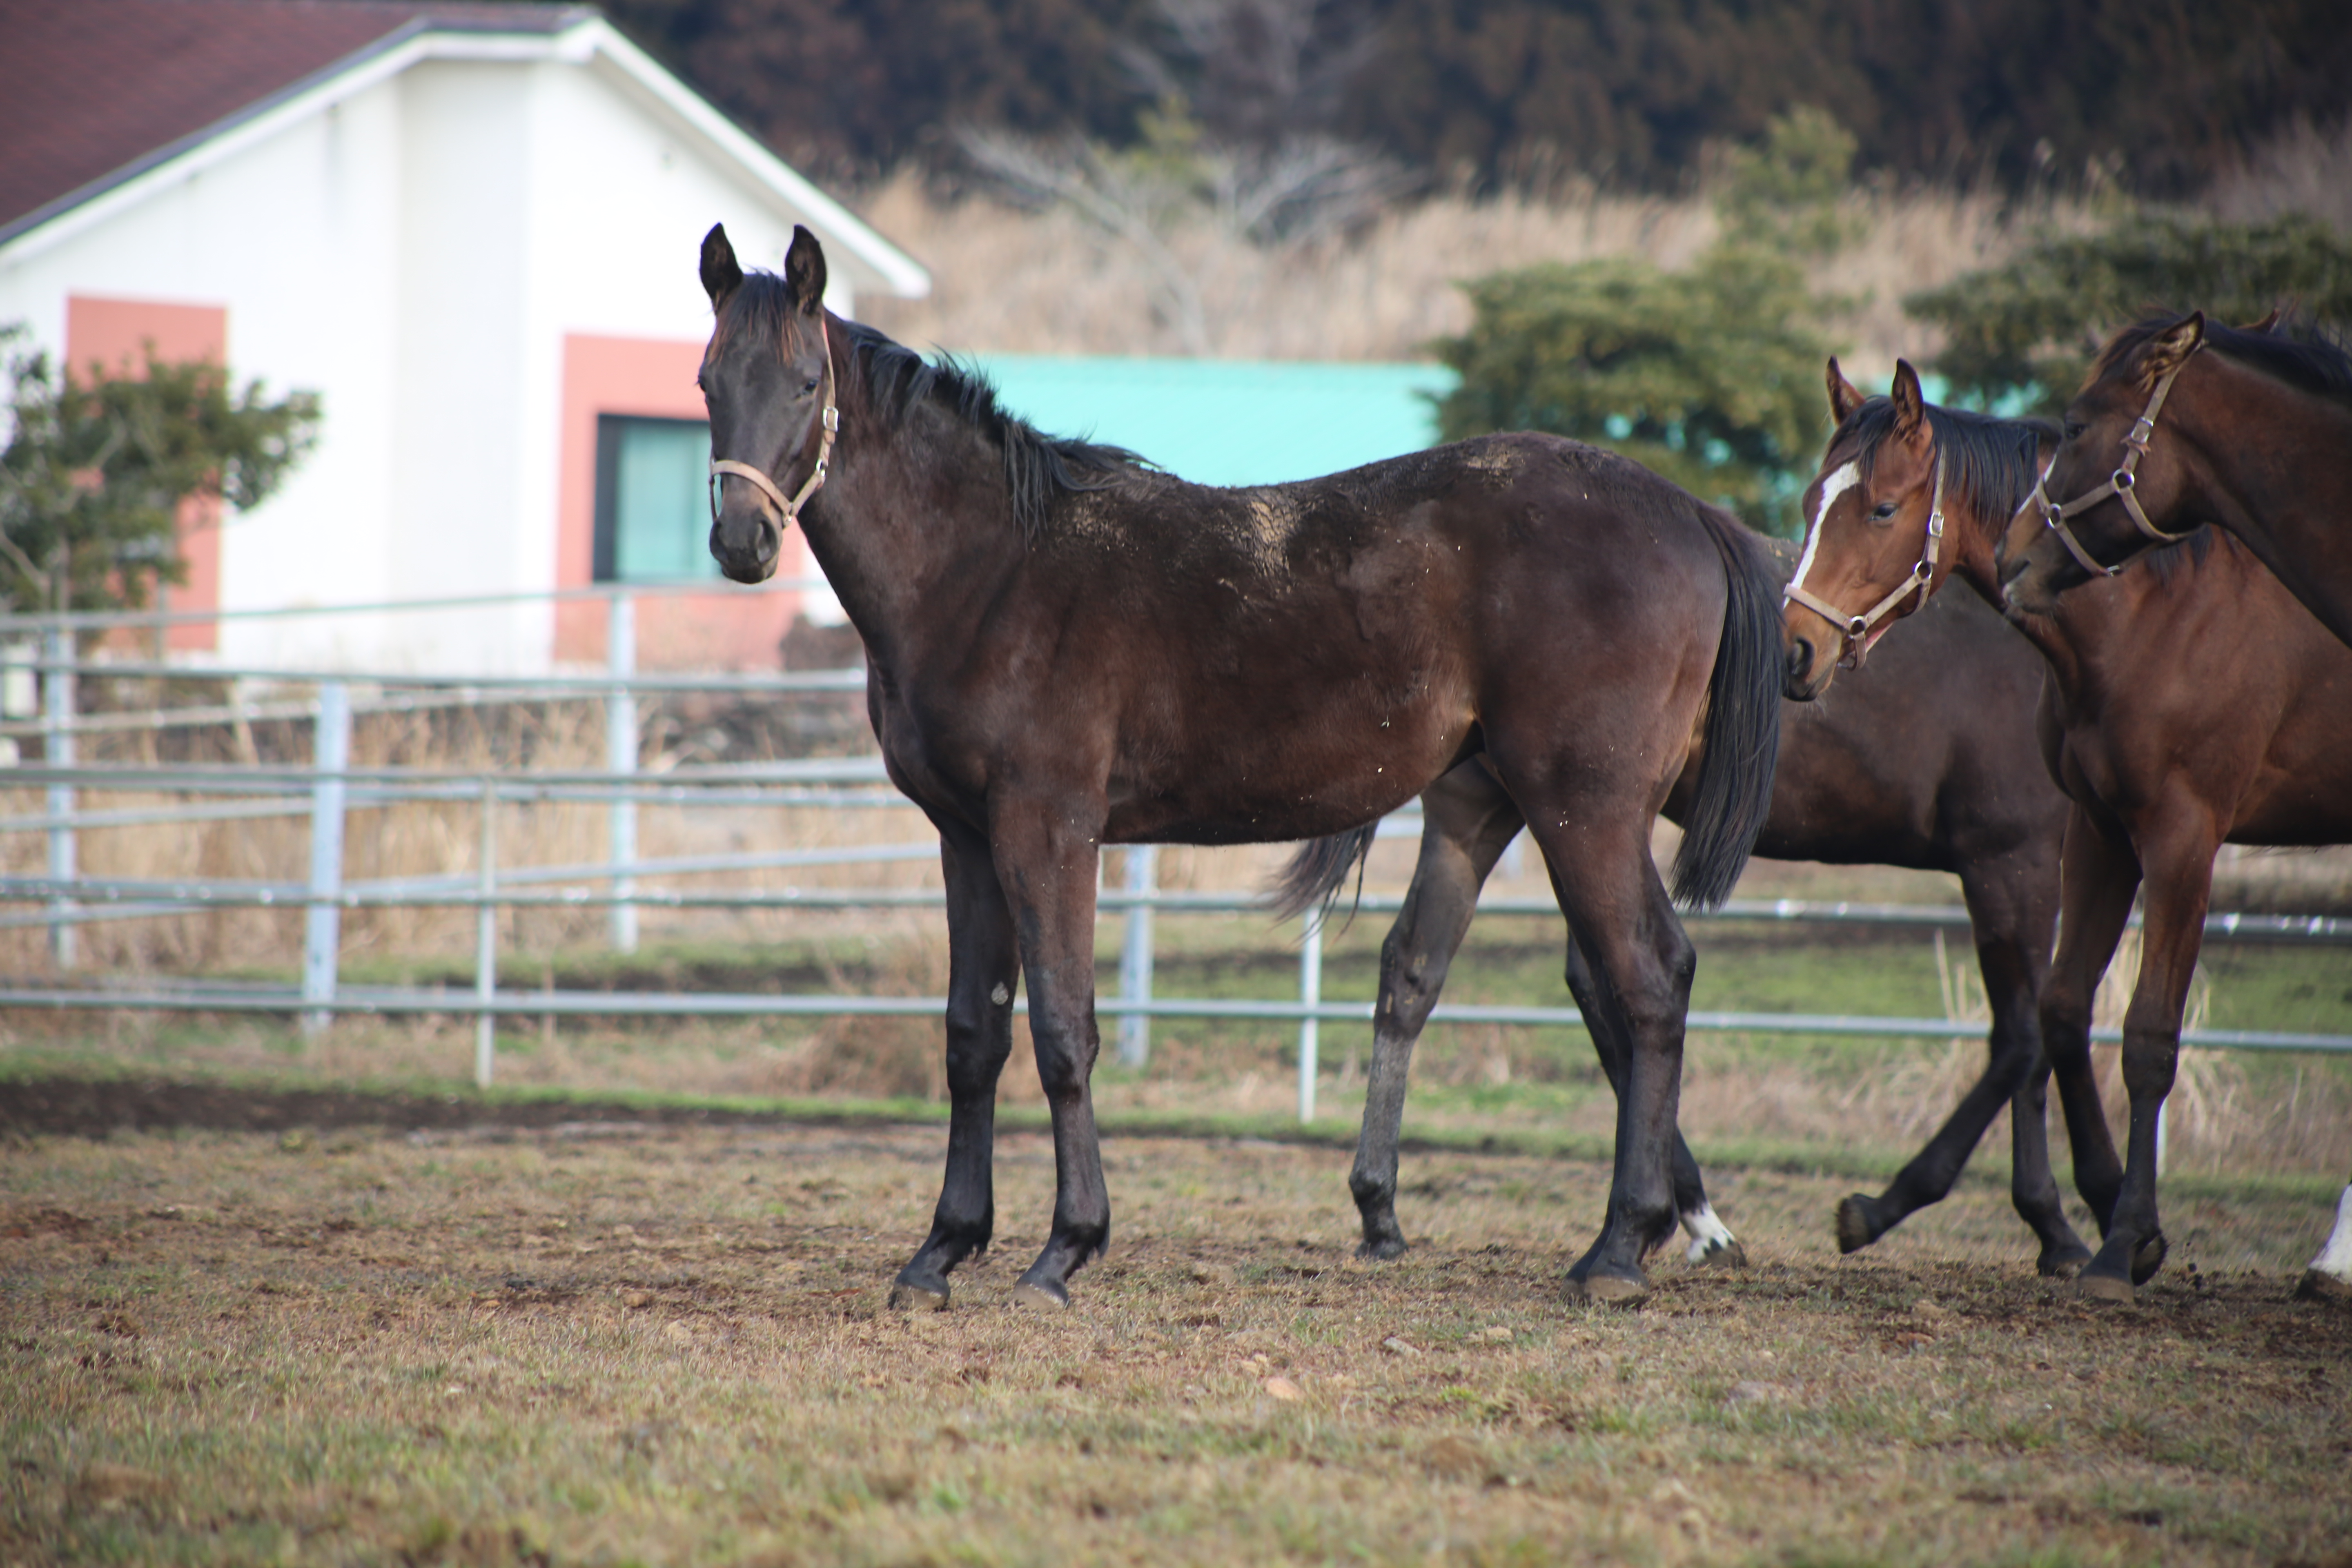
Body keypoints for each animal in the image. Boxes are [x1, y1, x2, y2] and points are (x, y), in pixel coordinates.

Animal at [696, 227, 1778, 1316]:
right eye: (707, 381)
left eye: (805, 382)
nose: (741, 542)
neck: (989, 571)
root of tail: (1691, 514)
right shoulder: (965, 836)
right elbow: (973, 1037)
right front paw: (940, 1252)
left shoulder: (1049, 827)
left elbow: (1061, 1029)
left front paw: (1064, 1251)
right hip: (1527, 808)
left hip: (1585, 809)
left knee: (1648, 980)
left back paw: (1621, 1248)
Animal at [1279, 555, 2088, 1278]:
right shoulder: (2012, 858)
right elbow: (2029, 1038)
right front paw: (2049, 1224)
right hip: (1567, 817)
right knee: (1607, 982)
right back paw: (1682, 1221)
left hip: (1522, 816)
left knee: (1442, 971)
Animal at [1778, 362, 2352, 1307]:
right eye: (1810, 502)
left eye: (1884, 509)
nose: (1794, 651)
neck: (2150, 611)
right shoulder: (2094, 833)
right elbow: (2057, 1014)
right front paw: (2110, 1209)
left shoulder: (2169, 840)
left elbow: (2130, 1036)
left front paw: (2113, 1238)